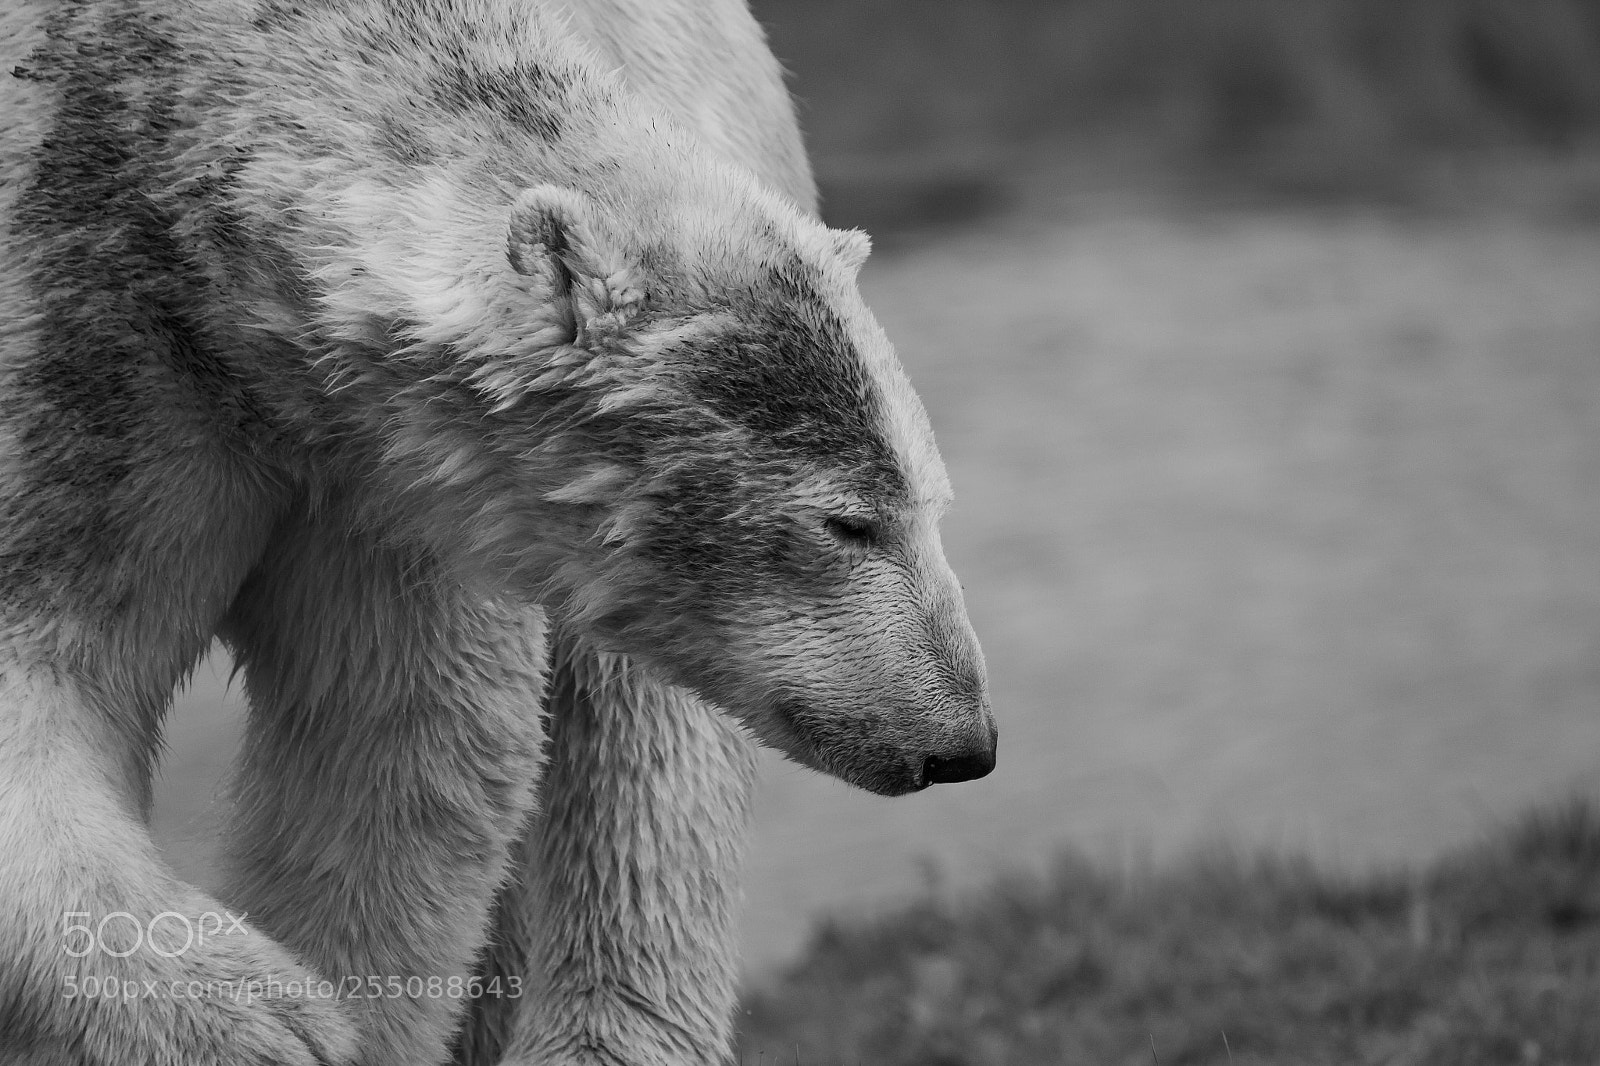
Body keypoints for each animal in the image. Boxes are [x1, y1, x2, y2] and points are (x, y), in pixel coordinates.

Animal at [0, 1, 997, 1064]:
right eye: (849, 522)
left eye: (930, 505)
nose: (963, 744)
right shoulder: (89, 328)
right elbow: (47, 670)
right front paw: (273, 1018)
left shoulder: (392, 485)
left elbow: (404, 745)